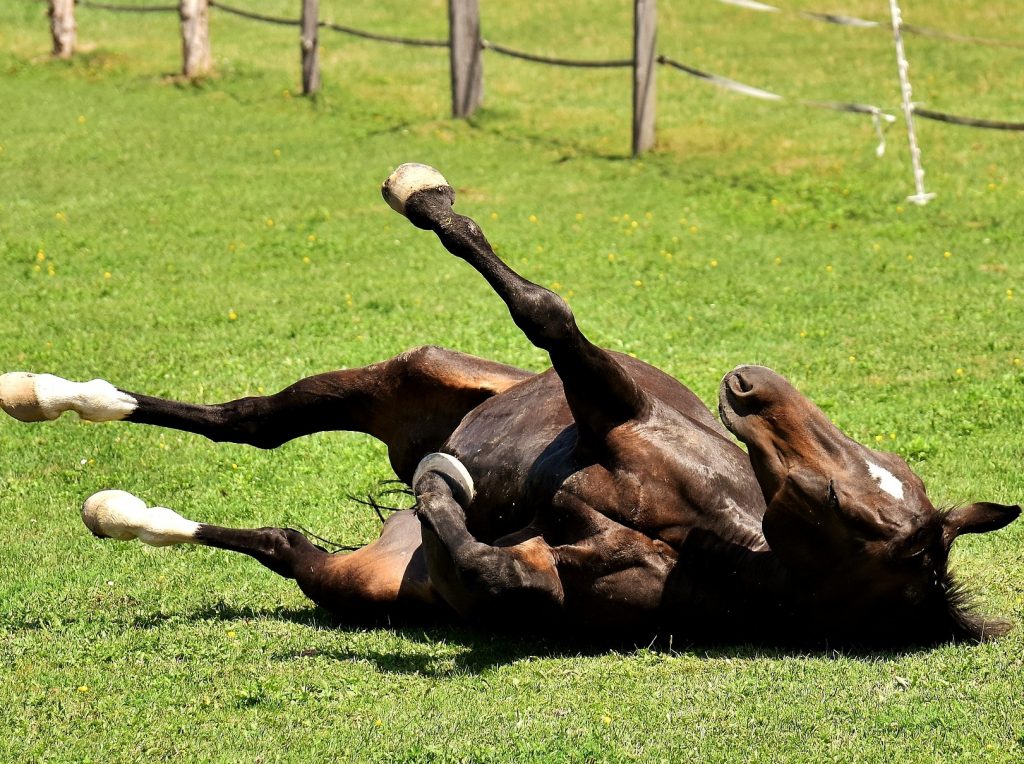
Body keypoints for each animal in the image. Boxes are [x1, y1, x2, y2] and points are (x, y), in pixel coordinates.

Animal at [4, 163, 1019, 647]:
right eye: (876, 469)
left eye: (835, 502)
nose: (750, 382)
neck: (706, 532)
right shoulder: (609, 401)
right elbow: (549, 312)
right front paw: (428, 197)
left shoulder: (546, 583)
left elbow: (496, 571)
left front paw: (454, 493)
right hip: (406, 375)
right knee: (249, 422)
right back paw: (49, 395)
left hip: (352, 577)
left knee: (278, 530)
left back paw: (115, 506)